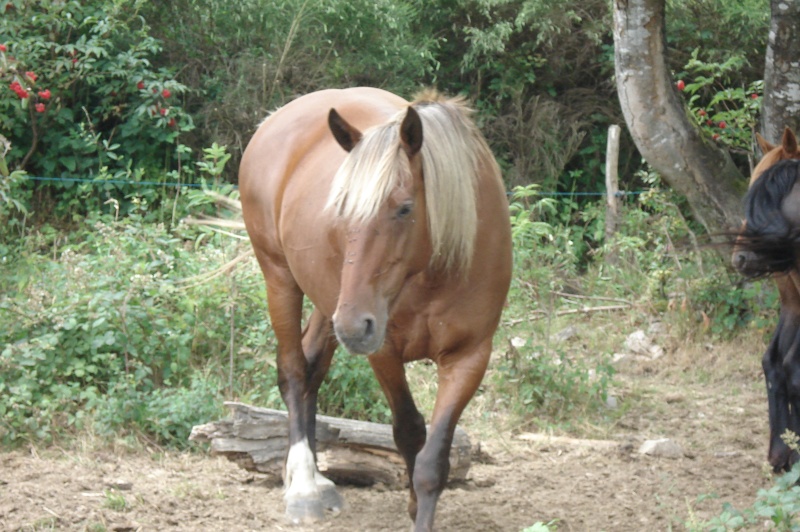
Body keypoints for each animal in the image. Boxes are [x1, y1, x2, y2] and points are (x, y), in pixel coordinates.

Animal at [238, 86, 512, 528]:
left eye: (404, 208)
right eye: (341, 209)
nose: (355, 327)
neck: (435, 270)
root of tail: (277, 118)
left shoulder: (469, 357)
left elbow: (434, 459)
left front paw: (419, 509)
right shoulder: (384, 351)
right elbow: (409, 430)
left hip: (331, 303)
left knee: (312, 367)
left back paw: (313, 478)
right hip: (284, 281)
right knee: (294, 371)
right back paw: (304, 487)